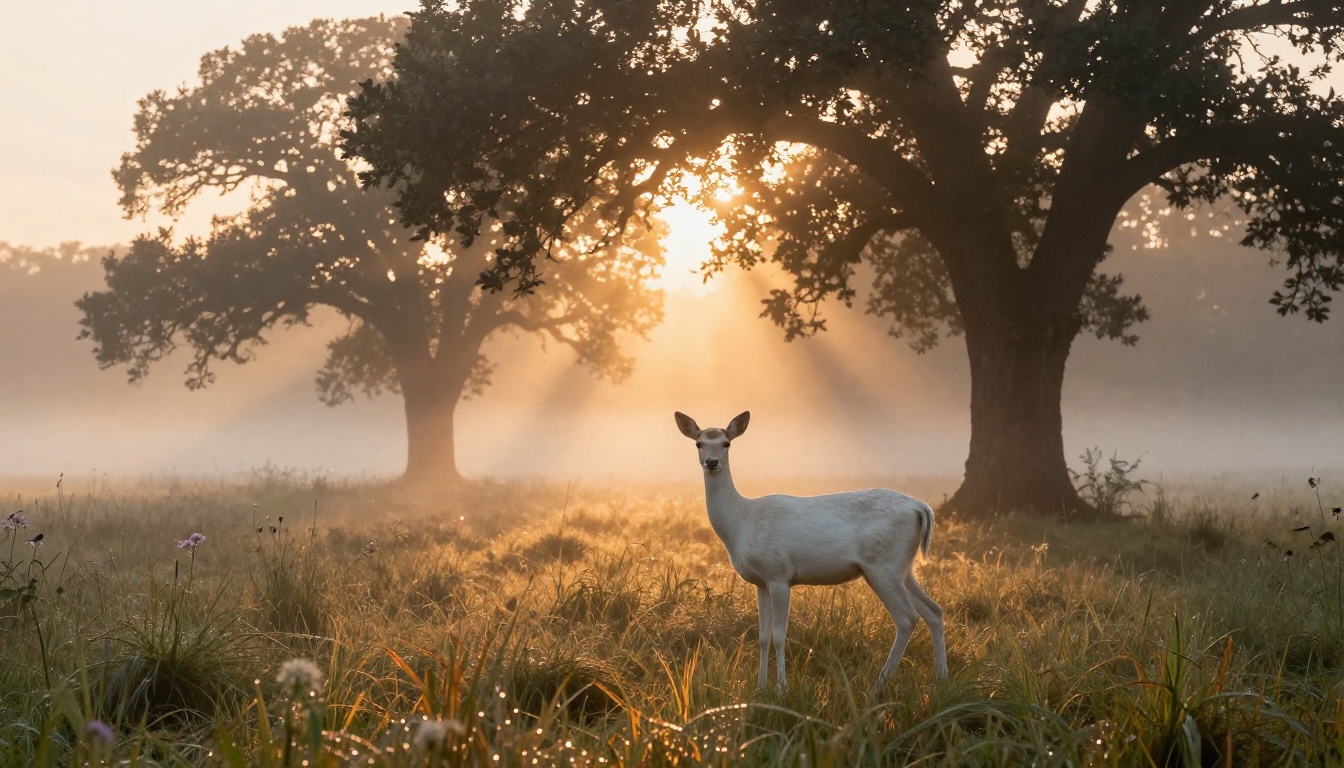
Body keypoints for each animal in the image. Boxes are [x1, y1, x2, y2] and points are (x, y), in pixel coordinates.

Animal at [675, 410, 947, 695]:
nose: (712, 462)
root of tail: (921, 508)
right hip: (903, 567)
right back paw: (941, 680)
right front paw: (760, 688)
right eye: (699, 443)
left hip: (883, 566)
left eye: (726, 443)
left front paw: (781, 689)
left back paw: (876, 688)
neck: (741, 524)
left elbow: (779, 636)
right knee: (934, 611)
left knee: (907, 618)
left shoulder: (779, 573)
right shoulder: (760, 581)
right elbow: (762, 637)